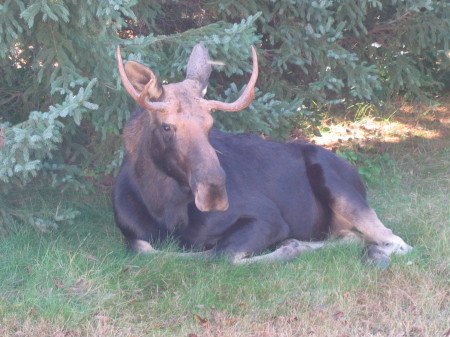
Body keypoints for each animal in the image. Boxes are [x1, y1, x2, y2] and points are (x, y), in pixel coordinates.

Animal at [112, 42, 412, 266]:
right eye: (167, 126)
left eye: (210, 125)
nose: (214, 192)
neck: (164, 209)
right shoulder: (131, 235)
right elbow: (145, 249)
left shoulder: (270, 218)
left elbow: (220, 253)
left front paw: (288, 249)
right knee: (352, 237)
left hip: (336, 185)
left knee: (396, 241)